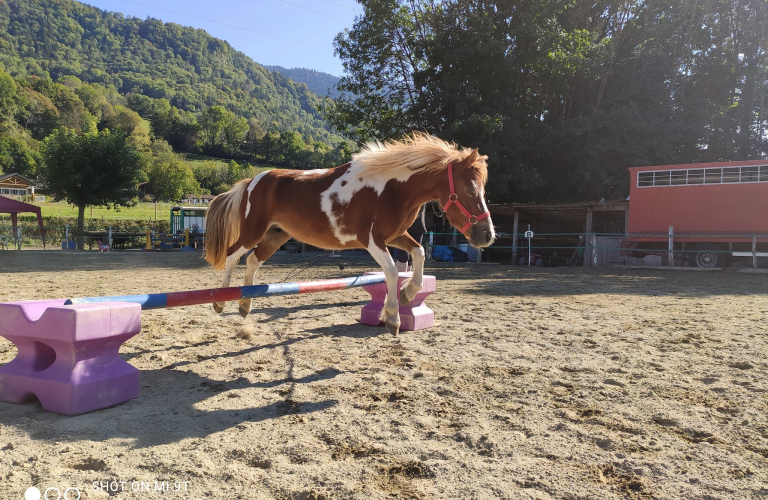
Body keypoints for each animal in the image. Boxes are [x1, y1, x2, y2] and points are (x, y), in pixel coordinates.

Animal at [202, 133, 492, 336]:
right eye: (469, 189)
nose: (487, 236)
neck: (392, 189)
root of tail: (251, 181)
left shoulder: (395, 237)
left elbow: (419, 253)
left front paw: (408, 294)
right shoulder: (372, 241)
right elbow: (392, 271)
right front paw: (393, 318)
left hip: (276, 235)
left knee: (253, 260)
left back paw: (244, 305)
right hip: (254, 231)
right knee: (232, 255)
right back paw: (220, 303)